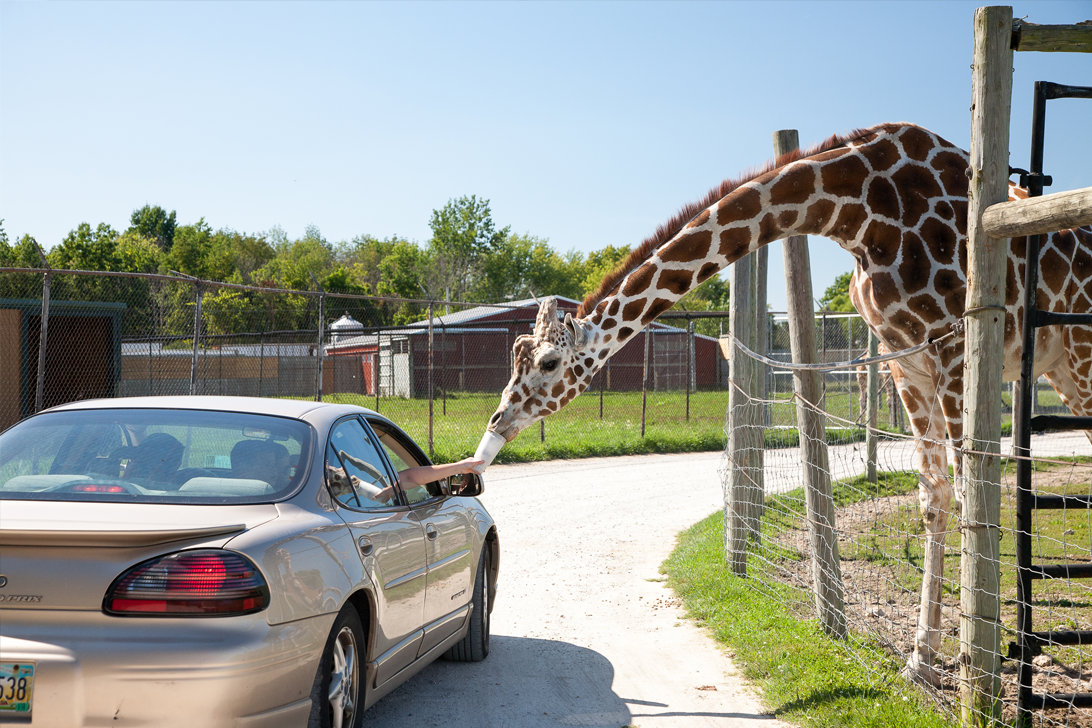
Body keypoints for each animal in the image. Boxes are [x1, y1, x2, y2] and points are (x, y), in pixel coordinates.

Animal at [487, 122, 1092, 685]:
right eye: (514, 357)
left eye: (547, 363)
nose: (495, 427)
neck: (861, 209)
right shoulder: (908, 363)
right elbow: (935, 499)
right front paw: (921, 661)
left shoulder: (955, 347)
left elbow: (971, 499)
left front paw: (972, 672)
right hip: (1058, 368)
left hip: (1082, 354)